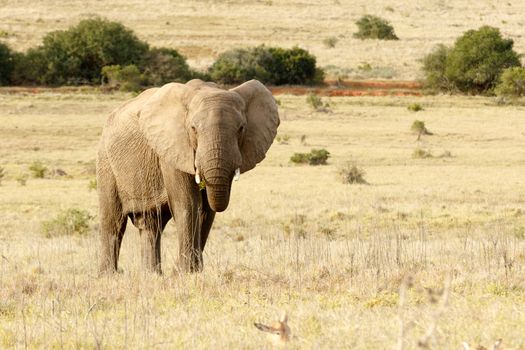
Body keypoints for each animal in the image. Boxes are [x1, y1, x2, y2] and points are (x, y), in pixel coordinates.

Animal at [96, 79, 280, 274]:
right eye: (193, 129)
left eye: (241, 129)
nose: (175, 268)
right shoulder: (172, 148)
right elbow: (188, 203)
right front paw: (186, 272)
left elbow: (206, 209)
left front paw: (192, 271)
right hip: (106, 161)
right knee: (113, 222)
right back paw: (109, 276)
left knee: (150, 224)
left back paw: (151, 275)